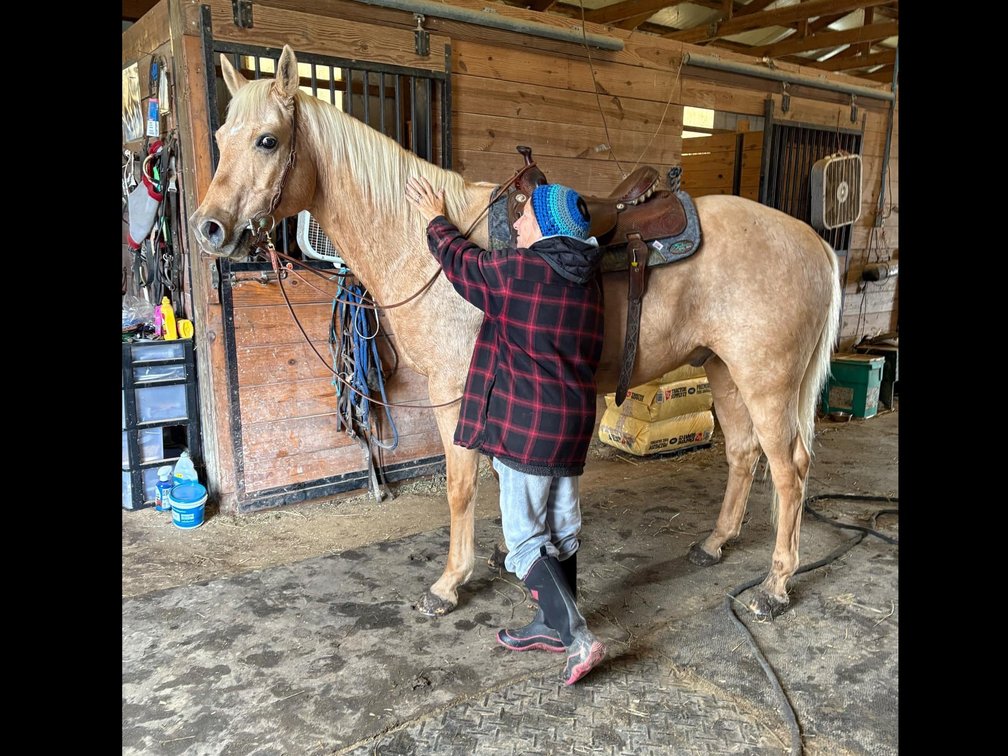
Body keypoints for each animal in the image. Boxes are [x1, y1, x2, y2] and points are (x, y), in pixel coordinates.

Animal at [191, 45, 841, 621]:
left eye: (268, 140)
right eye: (221, 138)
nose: (209, 229)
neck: (419, 244)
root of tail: (813, 242)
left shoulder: (453, 392)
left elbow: (460, 486)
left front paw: (449, 583)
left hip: (767, 383)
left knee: (790, 469)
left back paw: (775, 586)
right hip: (722, 369)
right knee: (743, 453)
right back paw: (714, 543)